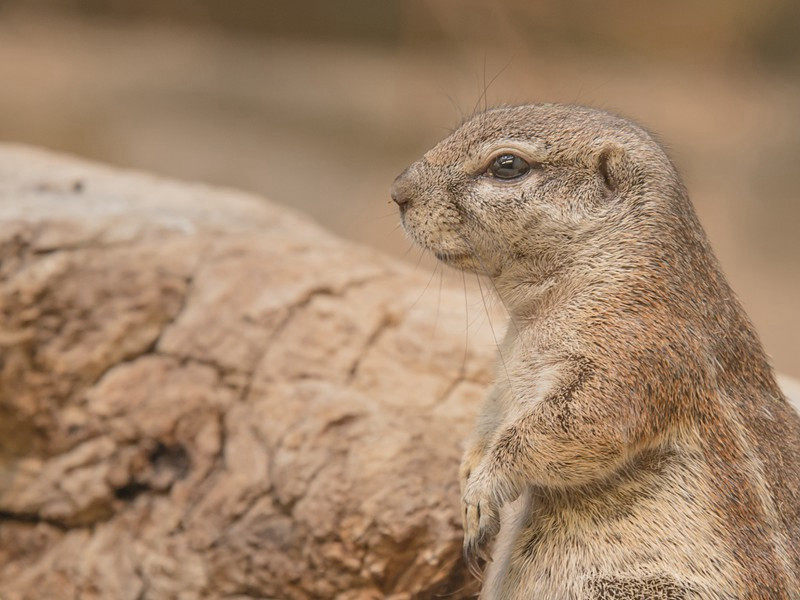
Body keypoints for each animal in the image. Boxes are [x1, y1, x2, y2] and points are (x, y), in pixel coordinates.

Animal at [392, 105, 800, 596]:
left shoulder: (633, 352)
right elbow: (488, 421)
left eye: (507, 165)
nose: (397, 192)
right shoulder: (505, 376)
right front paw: (468, 478)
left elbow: (568, 428)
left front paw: (482, 490)